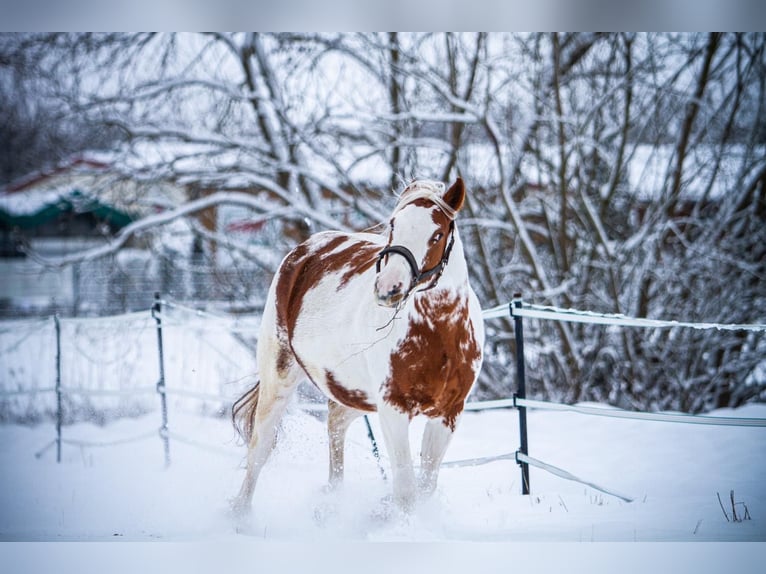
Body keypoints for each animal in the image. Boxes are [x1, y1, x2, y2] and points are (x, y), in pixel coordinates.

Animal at [231, 177, 485, 515]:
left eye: (437, 234)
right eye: (394, 224)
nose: (388, 288)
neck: (439, 334)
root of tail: (303, 252)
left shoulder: (449, 413)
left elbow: (425, 487)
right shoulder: (393, 408)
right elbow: (406, 491)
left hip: (352, 393)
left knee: (335, 425)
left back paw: (332, 502)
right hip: (280, 377)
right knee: (259, 449)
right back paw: (240, 515)